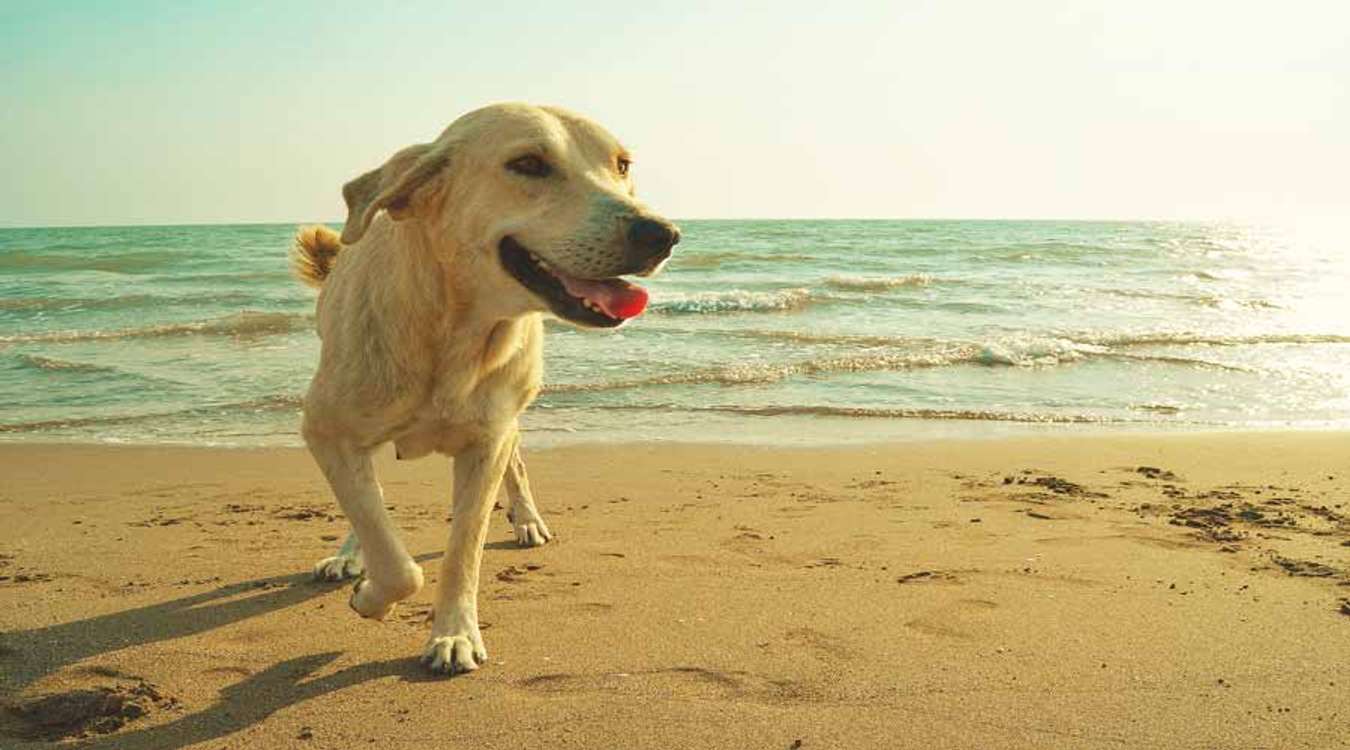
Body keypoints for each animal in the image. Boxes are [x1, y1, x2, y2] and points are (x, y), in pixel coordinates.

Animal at [291, 102, 680, 677]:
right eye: (528, 164)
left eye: (622, 165)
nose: (661, 233)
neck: (456, 332)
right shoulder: (326, 428)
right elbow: (391, 550)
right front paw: (370, 592)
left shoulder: (486, 444)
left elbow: (463, 549)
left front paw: (453, 634)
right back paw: (348, 556)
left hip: (511, 412)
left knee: (515, 462)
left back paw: (528, 520)